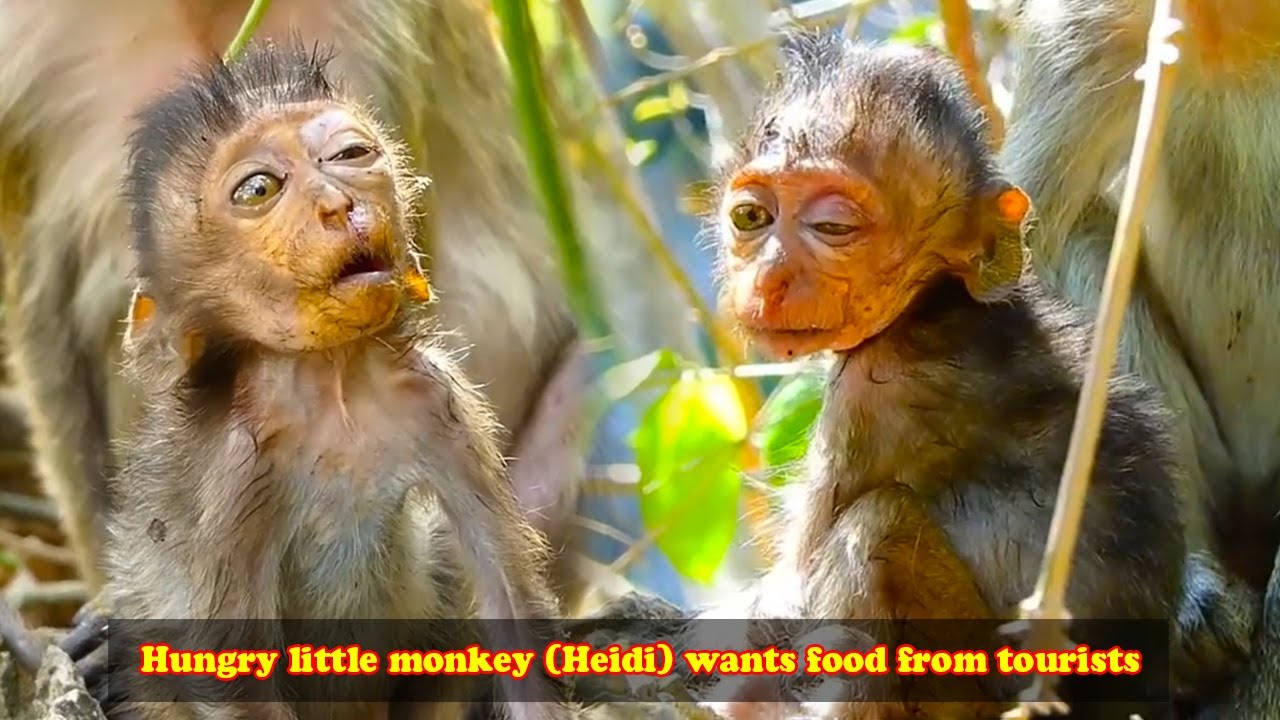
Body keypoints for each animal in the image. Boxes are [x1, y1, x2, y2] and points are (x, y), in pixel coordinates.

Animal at [99, 41, 568, 720]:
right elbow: (233, 672)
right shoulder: (234, 472)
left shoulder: (441, 400)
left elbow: (508, 596)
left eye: (350, 156)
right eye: (259, 189)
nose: (338, 205)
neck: (335, 385)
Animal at [698, 31, 1255, 719]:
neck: (935, 302)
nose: (769, 279)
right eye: (752, 218)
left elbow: (787, 605)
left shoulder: (866, 401)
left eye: (833, 228)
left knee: (877, 529)